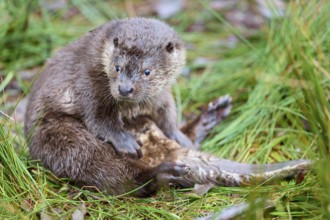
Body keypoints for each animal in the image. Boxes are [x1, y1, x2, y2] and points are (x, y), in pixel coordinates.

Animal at [24, 17, 310, 196]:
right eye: (117, 68)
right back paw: (162, 174)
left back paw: (209, 117)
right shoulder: (88, 80)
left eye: (147, 71)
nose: (124, 89)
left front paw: (177, 132)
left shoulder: (162, 94)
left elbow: (168, 113)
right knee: (101, 167)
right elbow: (98, 118)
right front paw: (124, 141)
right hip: (59, 136)